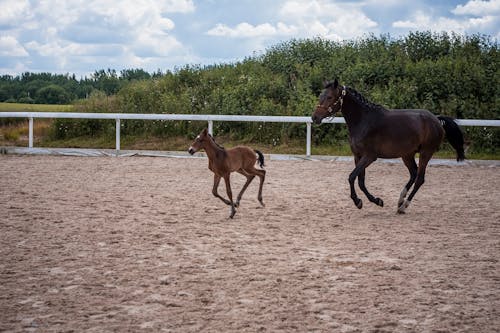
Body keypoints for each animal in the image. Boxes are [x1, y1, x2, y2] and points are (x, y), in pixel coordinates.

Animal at [312, 79, 464, 213]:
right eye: (321, 96)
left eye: (330, 97)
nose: (314, 118)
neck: (363, 121)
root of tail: (437, 120)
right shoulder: (357, 156)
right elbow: (360, 181)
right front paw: (376, 201)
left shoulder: (369, 157)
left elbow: (351, 177)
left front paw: (359, 201)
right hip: (407, 154)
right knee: (413, 173)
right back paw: (400, 200)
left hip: (426, 153)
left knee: (420, 179)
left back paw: (404, 206)